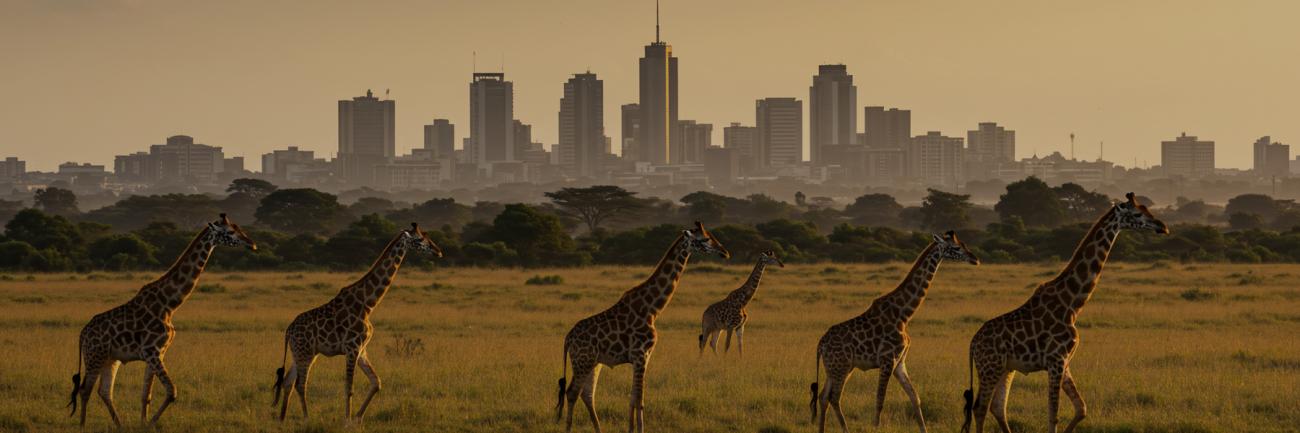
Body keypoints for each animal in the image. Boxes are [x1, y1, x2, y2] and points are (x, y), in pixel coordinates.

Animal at [66, 213, 256, 427]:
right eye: (230, 231)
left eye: (238, 228)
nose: (252, 244)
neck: (169, 304)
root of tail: (82, 334)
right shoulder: (152, 352)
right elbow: (172, 391)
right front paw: (150, 424)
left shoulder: (158, 353)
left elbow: (146, 395)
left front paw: (143, 424)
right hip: (94, 356)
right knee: (85, 390)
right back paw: (83, 426)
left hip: (110, 358)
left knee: (104, 391)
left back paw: (120, 425)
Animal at [272, 223, 442, 423]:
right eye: (420, 239)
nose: (438, 251)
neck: (368, 304)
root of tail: (288, 330)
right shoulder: (352, 348)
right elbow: (349, 388)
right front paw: (347, 420)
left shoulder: (362, 350)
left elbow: (376, 382)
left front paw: (357, 417)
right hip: (305, 352)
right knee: (300, 384)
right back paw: (307, 418)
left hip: (299, 352)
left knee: (288, 381)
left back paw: (282, 419)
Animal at [555, 221, 730, 433]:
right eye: (704, 239)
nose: (725, 252)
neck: (652, 309)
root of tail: (568, 338)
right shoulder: (641, 355)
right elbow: (640, 399)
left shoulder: (642, 357)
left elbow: (633, 398)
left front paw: (631, 429)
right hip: (583, 361)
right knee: (572, 392)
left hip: (593, 362)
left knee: (587, 394)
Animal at [811, 231, 980, 433]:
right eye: (955, 247)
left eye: (964, 244)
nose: (975, 259)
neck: (904, 315)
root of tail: (821, 344)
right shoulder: (887, 360)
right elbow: (880, 400)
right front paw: (875, 428)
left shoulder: (900, 362)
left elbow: (915, 397)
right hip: (841, 367)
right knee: (834, 398)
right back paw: (845, 429)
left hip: (835, 368)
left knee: (823, 397)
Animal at [959, 192, 1168, 433]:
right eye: (1137, 214)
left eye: (1147, 209)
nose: (1162, 227)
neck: (1073, 304)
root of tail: (973, 343)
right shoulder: (1056, 361)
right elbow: (1053, 414)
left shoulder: (1065, 362)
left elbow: (1081, 409)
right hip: (990, 367)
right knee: (980, 408)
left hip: (1006, 368)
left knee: (997, 407)